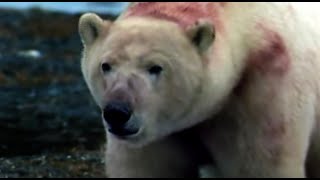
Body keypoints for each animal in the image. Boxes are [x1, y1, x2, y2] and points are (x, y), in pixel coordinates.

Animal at [79, 2, 320, 178]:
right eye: (106, 65)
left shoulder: (265, 89)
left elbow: (260, 166)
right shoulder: (159, 134)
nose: (117, 112)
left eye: (155, 67)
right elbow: (146, 168)